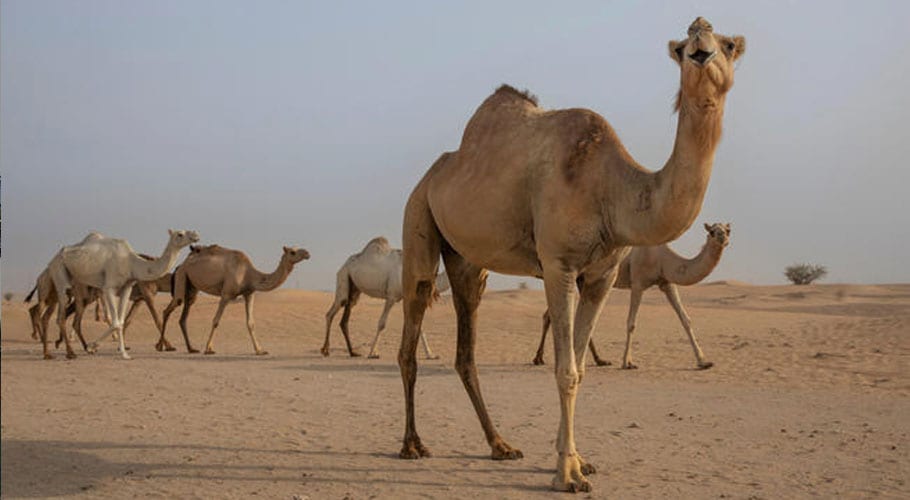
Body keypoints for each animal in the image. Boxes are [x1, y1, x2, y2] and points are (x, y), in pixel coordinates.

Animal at [46, 229, 199, 360]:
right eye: (180, 234)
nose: (196, 235)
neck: (132, 263)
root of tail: (56, 255)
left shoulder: (127, 288)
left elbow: (122, 320)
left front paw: (124, 353)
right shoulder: (111, 288)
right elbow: (117, 321)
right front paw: (93, 346)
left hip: (80, 287)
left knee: (70, 316)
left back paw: (66, 345)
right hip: (60, 271)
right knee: (61, 315)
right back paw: (70, 352)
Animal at [159, 244, 310, 355]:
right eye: (292, 252)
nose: (307, 253)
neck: (249, 274)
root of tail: (180, 265)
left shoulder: (249, 294)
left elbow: (250, 323)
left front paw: (260, 350)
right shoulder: (226, 294)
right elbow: (216, 321)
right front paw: (208, 349)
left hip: (191, 286)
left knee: (184, 314)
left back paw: (191, 349)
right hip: (182, 275)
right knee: (169, 308)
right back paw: (161, 346)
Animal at [321, 237, 449, 359]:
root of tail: (344, 265)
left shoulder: (407, 298)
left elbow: (418, 325)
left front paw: (431, 355)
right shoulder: (391, 296)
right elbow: (382, 323)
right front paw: (372, 353)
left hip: (354, 288)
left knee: (345, 316)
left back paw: (353, 352)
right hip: (343, 278)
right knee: (331, 312)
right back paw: (326, 350)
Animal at [533, 222, 731, 369]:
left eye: (728, 230)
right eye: (712, 232)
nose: (723, 238)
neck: (662, 256)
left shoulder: (666, 283)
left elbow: (685, 319)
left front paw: (703, 361)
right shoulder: (638, 282)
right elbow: (631, 323)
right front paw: (627, 362)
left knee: (554, 316)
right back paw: (540, 358)